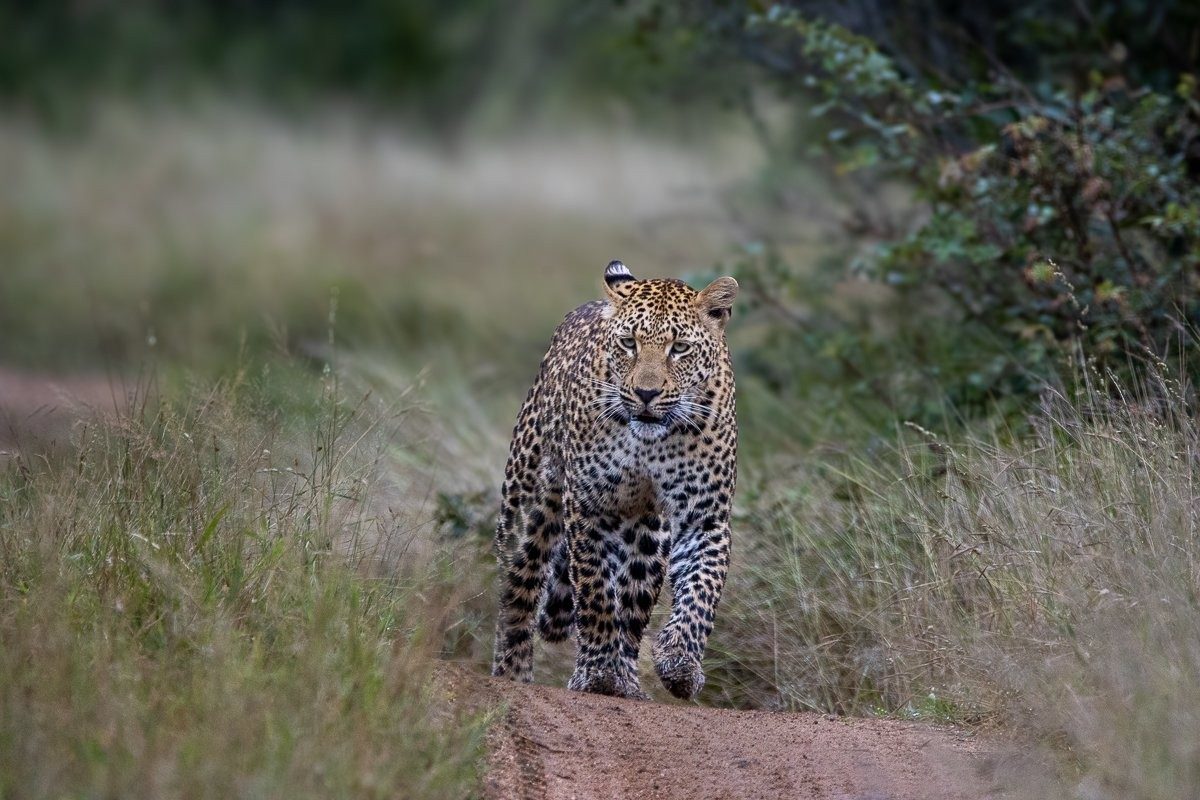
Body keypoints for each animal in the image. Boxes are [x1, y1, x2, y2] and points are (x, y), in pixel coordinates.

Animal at [491, 259, 738, 701]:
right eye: (628, 344)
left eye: (679, 348)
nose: (646, 393)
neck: (650, 442)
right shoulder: (589, 505)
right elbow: (595, 590)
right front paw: (599, 674)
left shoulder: (705, 514)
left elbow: (701, 590)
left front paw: (679, 662)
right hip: (526, 510)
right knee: (517, 591)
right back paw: (513, 675)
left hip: (649, 534)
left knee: (635, 602)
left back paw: (629, 678)